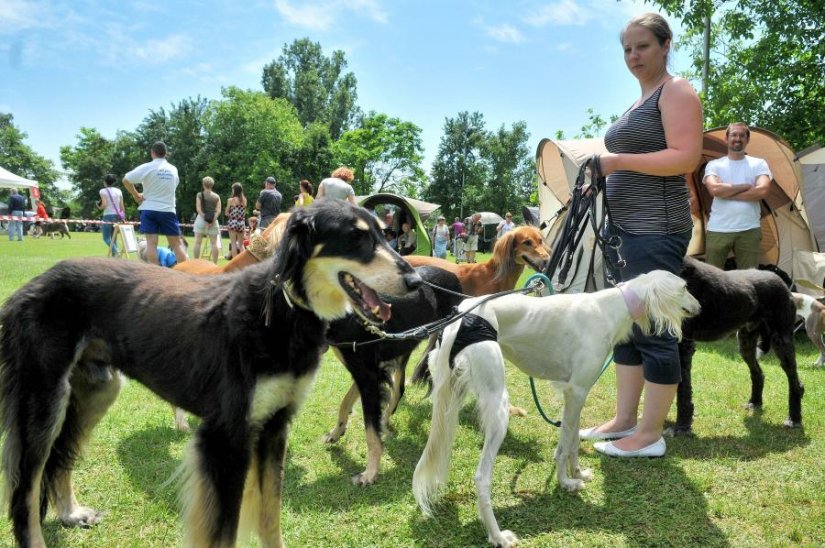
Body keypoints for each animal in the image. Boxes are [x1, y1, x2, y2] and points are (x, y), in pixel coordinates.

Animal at [0, 201, 422, 548]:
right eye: (355, 237)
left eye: (384, 234)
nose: (417, 282)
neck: (281, 313)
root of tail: (32, 285)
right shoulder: (226, 437)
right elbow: (224, 532)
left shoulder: (274, 425)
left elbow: (270, 518)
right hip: (43, 400)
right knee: (24, 493)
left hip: (96, 389)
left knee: (61, 456)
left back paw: (71, 513)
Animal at [322, 266, 464, 484]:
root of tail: (453, 274)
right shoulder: (369, 371)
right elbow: (345, 403)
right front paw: (336, 432)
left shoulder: (368, 376)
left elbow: (371, 431)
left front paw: (370, 473)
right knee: (399, 390)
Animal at [416, 270, 700, 548]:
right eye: (685, 287)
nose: (698, 308)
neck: (610, 307)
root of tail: (459, 318)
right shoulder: (575, 391)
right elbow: (563, 447)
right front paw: (565, 482)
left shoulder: (577, 394)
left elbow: (572, 440)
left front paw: (578, 474)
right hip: (498, 406)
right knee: (482, 477)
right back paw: (497, 536)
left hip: (451, 396)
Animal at [676, 256, 804, 432]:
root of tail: (780, 279)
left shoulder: (683, 345)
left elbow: (683, 389)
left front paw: (682, 426)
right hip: (746, 342)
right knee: (758, 373)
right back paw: (755, 402)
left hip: (782, 341)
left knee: (794, 381)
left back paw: (794, 418)